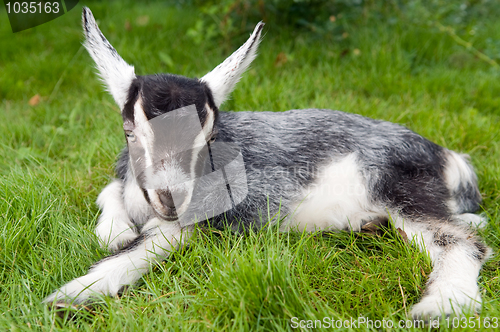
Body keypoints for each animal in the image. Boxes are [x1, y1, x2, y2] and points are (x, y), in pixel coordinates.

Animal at [46, 7, 492, 320]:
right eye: (130, 132)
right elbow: (111, 195)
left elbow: (153, 242)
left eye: (209, 137)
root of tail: (448, 156)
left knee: (461, 240)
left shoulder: (222, 214)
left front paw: (74, 293)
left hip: (395, 184)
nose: (172, 199)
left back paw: (442, 306)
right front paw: (112, 231)